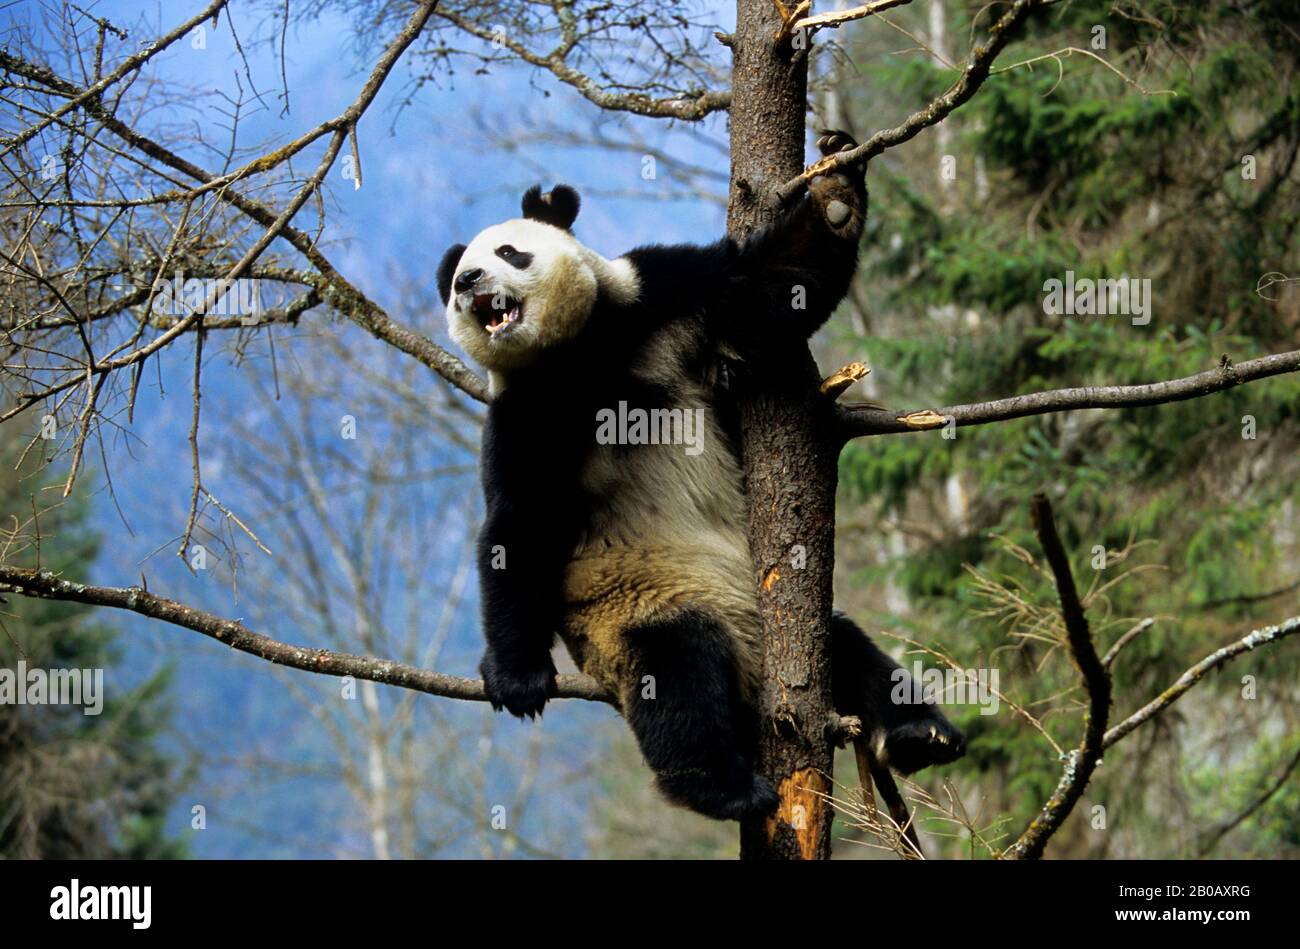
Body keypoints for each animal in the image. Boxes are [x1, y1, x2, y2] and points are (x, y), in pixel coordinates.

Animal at [439, 129, 967, 816]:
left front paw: (835, 195)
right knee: (676, 671)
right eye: (455, 281)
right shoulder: (526, 410)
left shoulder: (657, 298)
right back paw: (724, 787)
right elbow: (518, 525)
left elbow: (766, 288)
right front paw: (515, 677)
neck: (580, 351)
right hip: (638, 602)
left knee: (851, 649)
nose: (469, 279)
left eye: (510, 251)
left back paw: (918, 733)